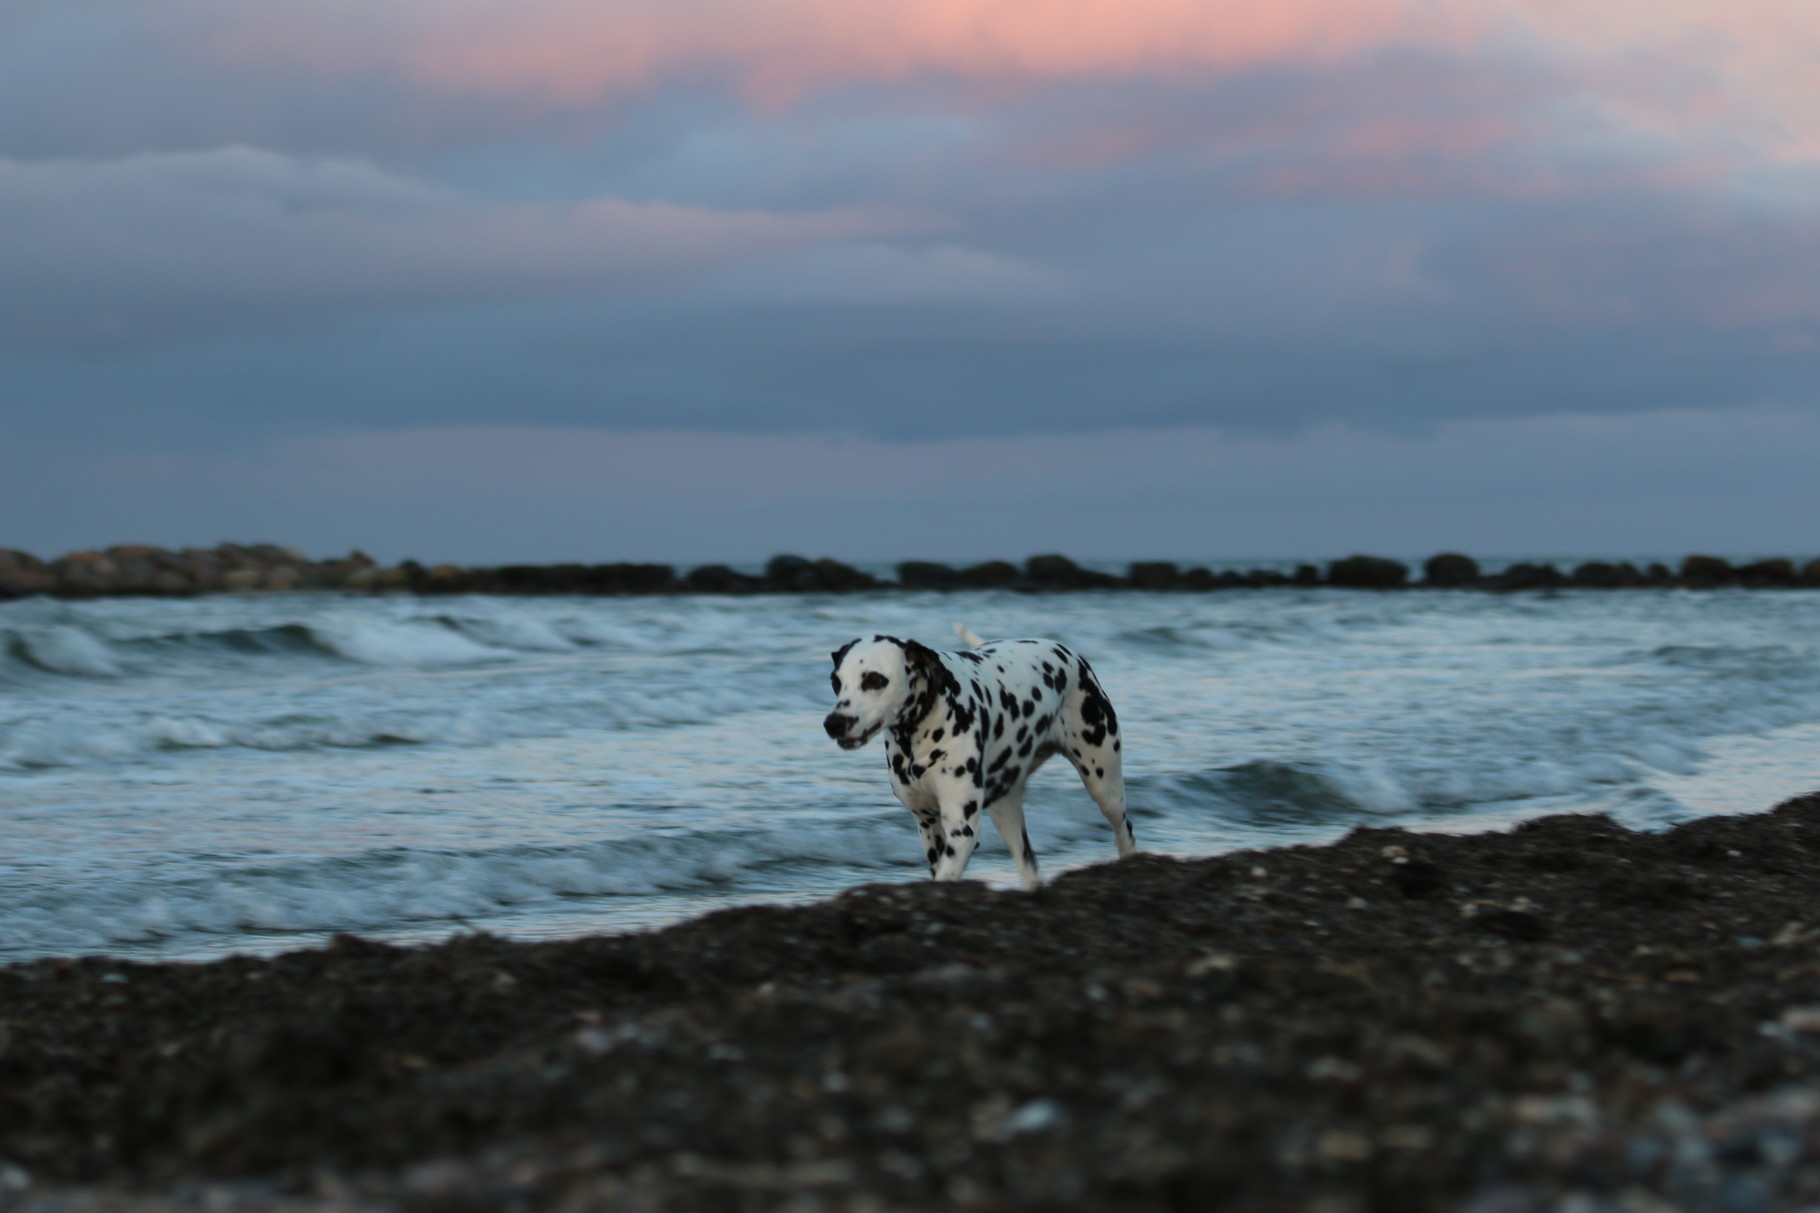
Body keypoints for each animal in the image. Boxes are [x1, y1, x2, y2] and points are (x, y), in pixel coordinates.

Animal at [829, 633, 1135, 888]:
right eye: (836, 681)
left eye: (875, 679)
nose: (834, 723)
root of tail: (1068, 652)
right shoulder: (929, 826)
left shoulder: (962, 829)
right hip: (1006, 812)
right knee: (1029, 868)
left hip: (1104, 787)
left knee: (1124, 830)